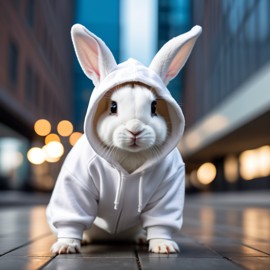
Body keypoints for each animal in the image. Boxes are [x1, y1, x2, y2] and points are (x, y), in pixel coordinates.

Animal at [47, 23, 202, 253]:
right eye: (113, 107)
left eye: (154, 107)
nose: (135, 130)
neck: (129, 164)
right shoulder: (75, 183)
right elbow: (72, 217)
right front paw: (65, 246)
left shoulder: (170, 185)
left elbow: (161, 221)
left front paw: (163, 246)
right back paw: (83, 240)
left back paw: (140, 239)